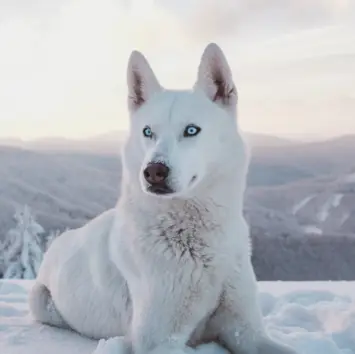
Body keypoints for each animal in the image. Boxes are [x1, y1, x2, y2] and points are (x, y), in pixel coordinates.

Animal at [29, 43, 298, 354]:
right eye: (148, 132)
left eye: (191, 130)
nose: (153, 171)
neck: (197, 240)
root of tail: (60, 240)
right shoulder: (160, 341)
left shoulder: (247, 331)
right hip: (39, 301)